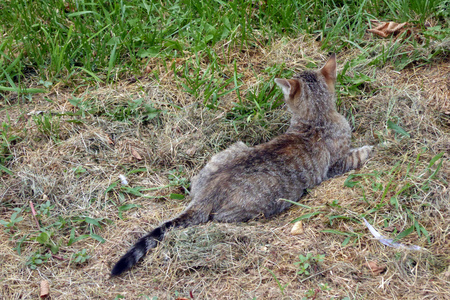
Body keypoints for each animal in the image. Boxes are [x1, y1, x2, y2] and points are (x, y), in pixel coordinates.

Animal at [110, 54, 370, 276]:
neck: (316, 119)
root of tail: (205, 194)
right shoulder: (334, 165)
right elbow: (355, 156)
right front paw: (371, 148)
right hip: (261, 204)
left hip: (232, 149)